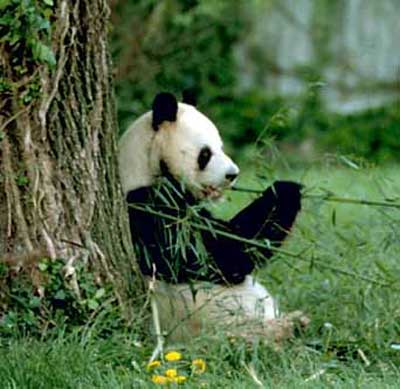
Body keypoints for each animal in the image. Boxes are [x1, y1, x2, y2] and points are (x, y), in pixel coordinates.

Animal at [119, 93, 310, 346]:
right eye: (206, 153)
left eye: (221, 147)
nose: (232, 174)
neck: (142, 166)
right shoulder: (151, 209)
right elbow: (224, 254)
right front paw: (285, 190)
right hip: (231, 327)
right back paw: (290, 329)